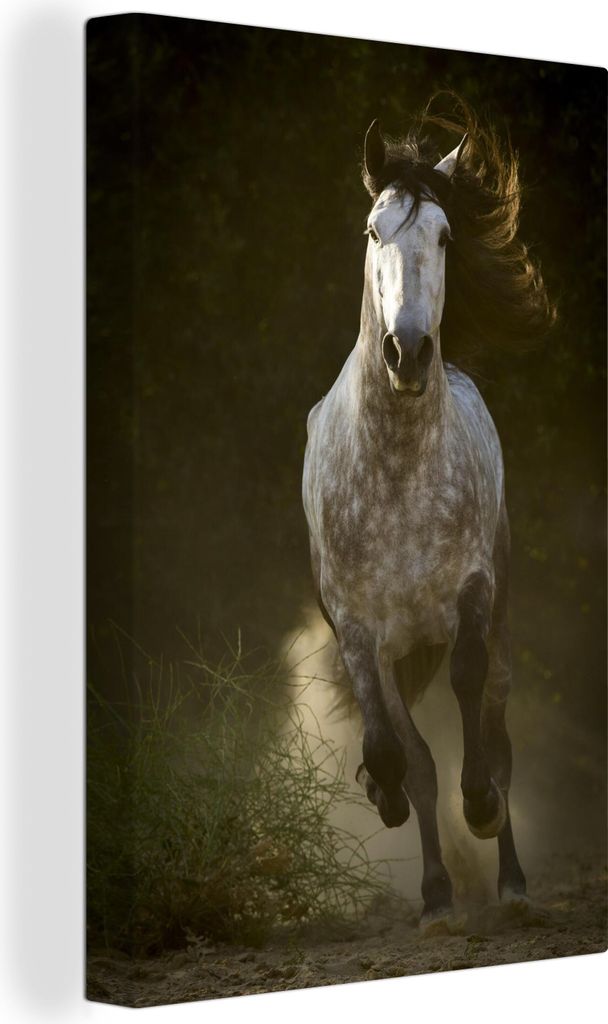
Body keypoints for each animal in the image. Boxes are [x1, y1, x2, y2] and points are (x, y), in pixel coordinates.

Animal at [302, 96, 555, 930]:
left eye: (444, 235)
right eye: (374, 230)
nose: (406, 352)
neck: (396, 474)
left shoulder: (472, 594)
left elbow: (472, 701)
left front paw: (480, 808)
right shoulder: (359, 632)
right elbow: (397, 752)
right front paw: (380, 795)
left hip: (495, 621)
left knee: (498, 730)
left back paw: (509, 881)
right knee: (415, 756)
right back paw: (439, 894)